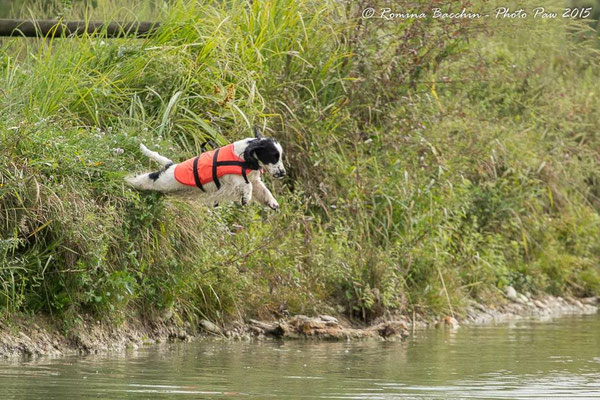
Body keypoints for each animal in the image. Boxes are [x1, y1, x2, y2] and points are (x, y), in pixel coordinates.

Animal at [125, 127, 284, 209]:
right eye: (274, 156)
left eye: (280, 156)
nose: (283, 173)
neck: (246, 158)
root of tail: (170, 165)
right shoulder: (233, 178)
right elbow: (248, 185)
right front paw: (246, 198)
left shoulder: (255, 180)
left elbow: (262, 190)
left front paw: (273, 203)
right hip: (158, 181)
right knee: (138, 180)